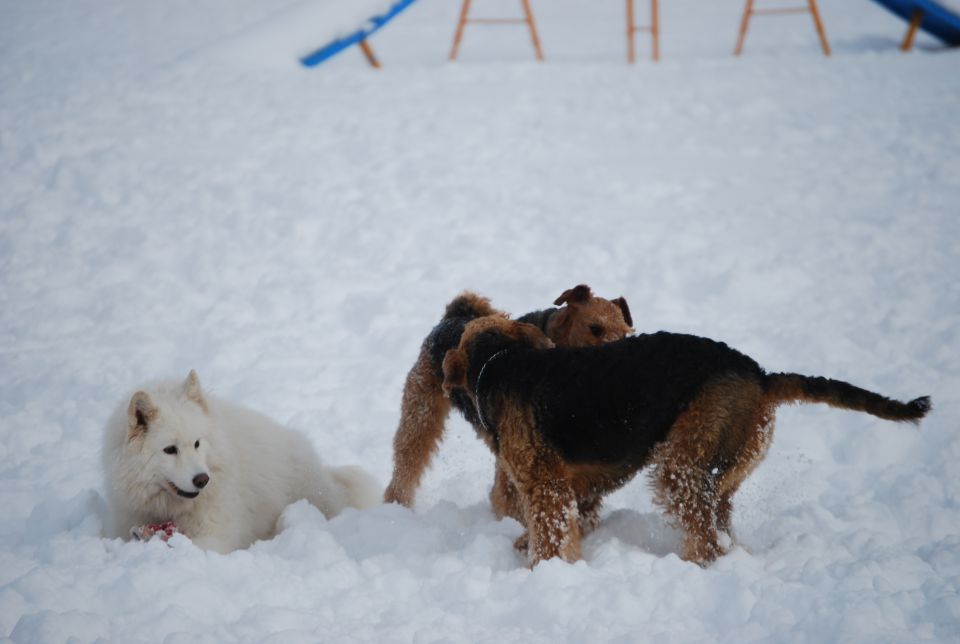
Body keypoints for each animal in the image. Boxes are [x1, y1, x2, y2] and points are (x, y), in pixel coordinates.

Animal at [442, 320, 928, 568]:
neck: (499, 362)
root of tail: (761, 375)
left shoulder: (545, 484)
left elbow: (551, 533)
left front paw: (543, 570)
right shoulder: (582, 482)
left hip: (681, 462)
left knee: (705, 536)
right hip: (728, 464)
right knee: (721, 526)